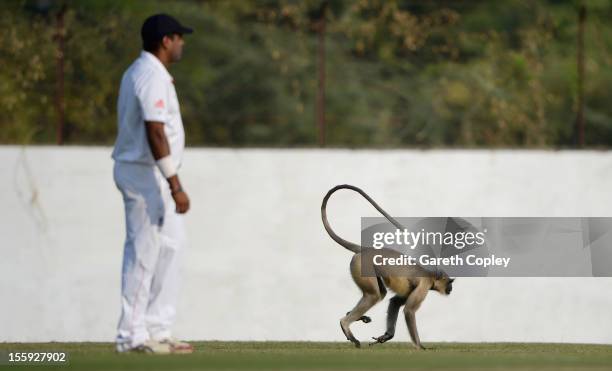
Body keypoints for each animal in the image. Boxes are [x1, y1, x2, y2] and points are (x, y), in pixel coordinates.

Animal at [320, 185, 454, 350]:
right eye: (449, 283)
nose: (450, 289)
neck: (430, 275)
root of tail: (364, 249)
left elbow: (394, 302)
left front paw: (387, 336)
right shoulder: (424, 285)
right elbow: (409, 311)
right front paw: (420, 347)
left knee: (380, 293)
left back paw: (352, 315)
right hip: (362, 265)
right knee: (374, 295)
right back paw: (346, 324)